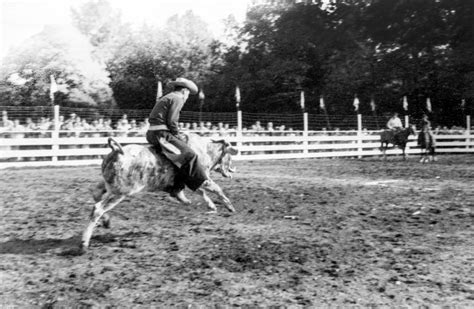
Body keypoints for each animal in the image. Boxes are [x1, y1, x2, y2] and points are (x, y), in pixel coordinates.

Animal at [81, 132, 239, 248]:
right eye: (229, 155)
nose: (231, 171)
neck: (204, 150)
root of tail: (118, 151)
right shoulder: (201, 178)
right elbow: (216, 189)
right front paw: (230, 207)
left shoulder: (191, 182)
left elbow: (200, 192)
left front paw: (204, 204)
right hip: (120, 192)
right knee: (98, 209)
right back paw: (84, 243)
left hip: (109, 185)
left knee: (95, 194)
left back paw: (106, 221)